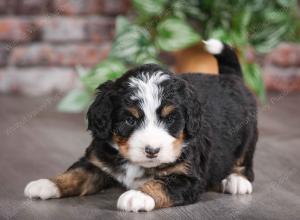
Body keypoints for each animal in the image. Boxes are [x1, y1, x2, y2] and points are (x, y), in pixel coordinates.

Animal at [24, 39, 258, 211]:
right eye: (130, 120)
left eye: (170, 119)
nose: (152, 150)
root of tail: (230, 77)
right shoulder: (97, 161)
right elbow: (75, 173)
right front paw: (47, 183)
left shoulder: (189, 177)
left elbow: (162, 184)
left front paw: (138, 195)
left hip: (248, 135)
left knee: (244, 162)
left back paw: (236, 180)